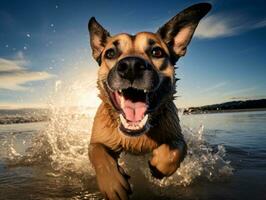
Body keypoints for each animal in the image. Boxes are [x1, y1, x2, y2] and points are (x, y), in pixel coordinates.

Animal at [88, 3, 211, 200]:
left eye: (156, 52)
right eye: (110, 53)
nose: (131, 67)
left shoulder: (174, 132)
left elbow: (178, 146)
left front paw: (160, 163)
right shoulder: (99, 141)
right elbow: (97, 151)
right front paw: (112, 183)